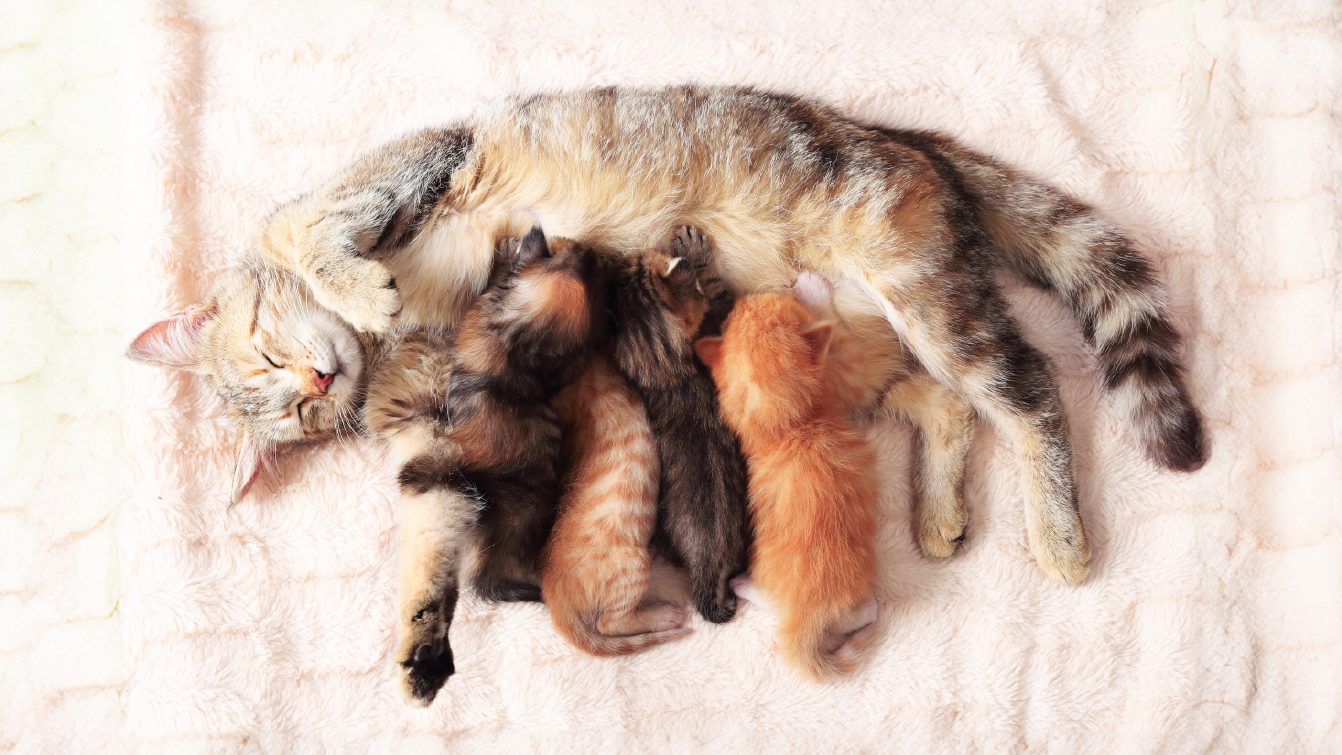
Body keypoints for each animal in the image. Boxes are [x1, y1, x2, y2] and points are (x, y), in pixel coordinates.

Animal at [230, 87, 1207, 584]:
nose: (317, 384)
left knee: (1031, 389)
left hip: (927, 296)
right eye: (291, 419)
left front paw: (359, 285)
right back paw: (936, 511)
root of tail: (907, 140)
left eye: (264, 354)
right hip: (857, 340)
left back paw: (1060, 536)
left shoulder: (421, 162)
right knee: (950, 406)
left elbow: (314, 230)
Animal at [611, 226, 756, 627]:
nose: (620, 255)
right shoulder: (716, 320)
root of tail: (706, 566)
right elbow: (718, 292)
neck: (667, 370)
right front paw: (694, 251)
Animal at [697, 270, 885, 678]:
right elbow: (839, 334)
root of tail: (805, 619)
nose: (745, 298)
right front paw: (813, 289)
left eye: (734, 316)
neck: (787, 427)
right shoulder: (848, 376)